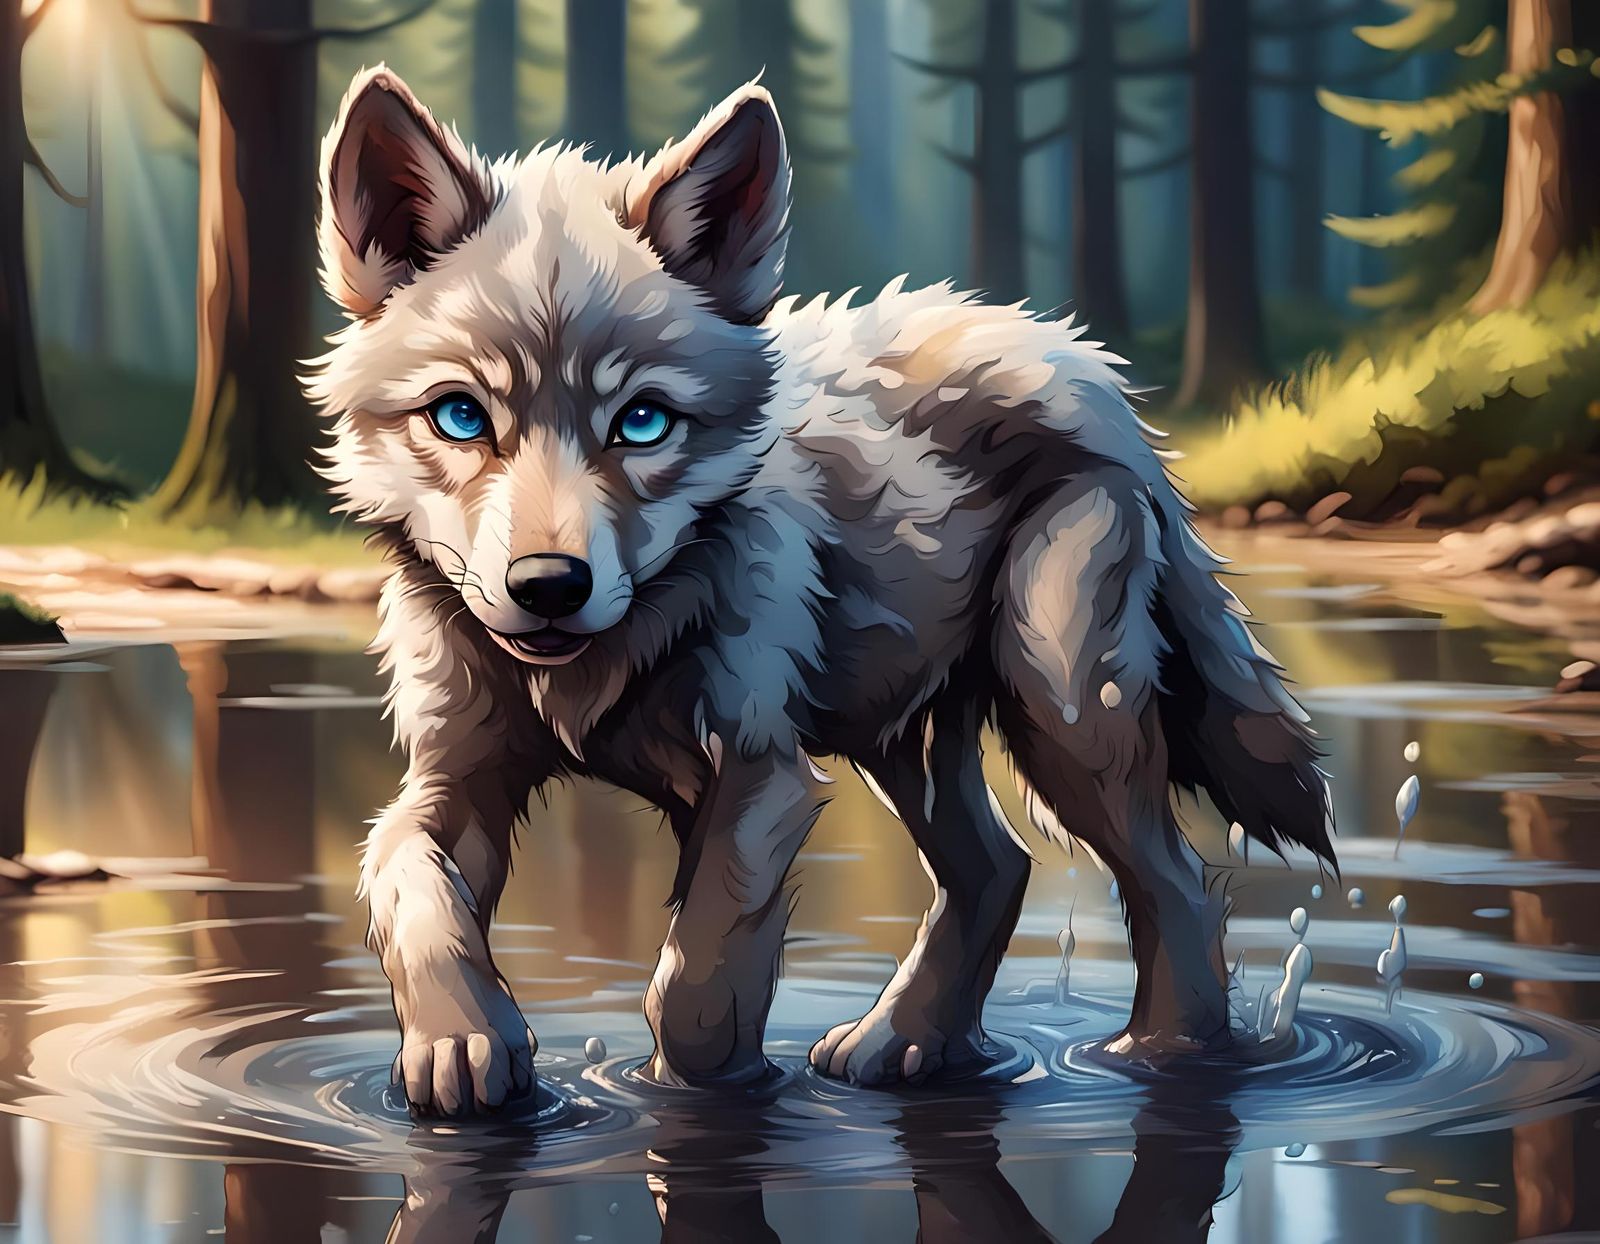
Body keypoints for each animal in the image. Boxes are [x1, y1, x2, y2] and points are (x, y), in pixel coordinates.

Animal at [307, 66, 1335, 1116]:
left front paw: (702, 1095)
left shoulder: (763, 778)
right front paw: (462, 1046)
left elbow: (696, 981)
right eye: (461, 417)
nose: (549, 586)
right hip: (906, 741)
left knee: (1178, 880)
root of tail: (1088, 373)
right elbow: (408, 883)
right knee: (997, 869)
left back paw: (1161, 1058)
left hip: (1061, 714)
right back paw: (910, 1045)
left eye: (642, 422)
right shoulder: (453, 781)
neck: (604, 663)